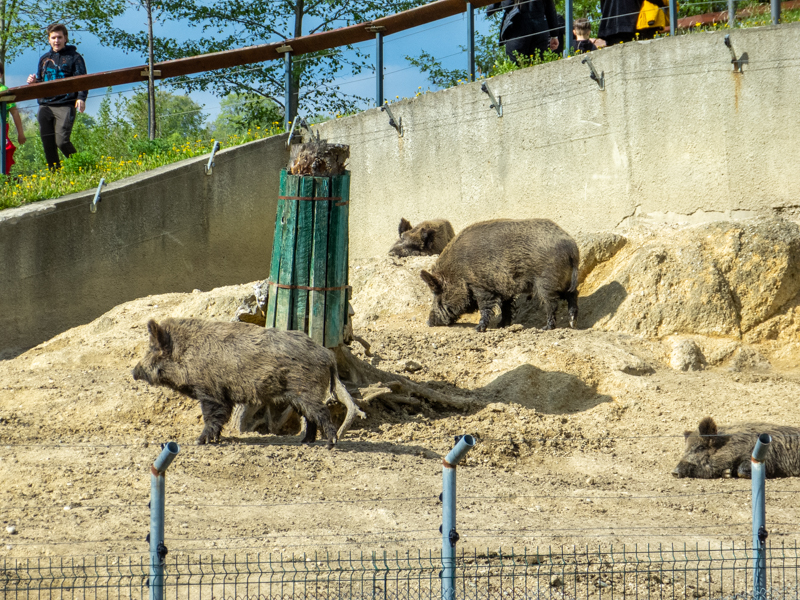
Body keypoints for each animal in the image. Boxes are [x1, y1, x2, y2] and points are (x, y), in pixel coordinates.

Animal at [132, 318, 344, 448]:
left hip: (306, 390)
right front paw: (215, 440)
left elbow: (212, 417)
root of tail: (328, 355)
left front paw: (199, 442)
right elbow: (220, 418)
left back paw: (330, 444)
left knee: (322, 411)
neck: (187, 354)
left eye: (153, 349)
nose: (134, 371)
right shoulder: (224, 396)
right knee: (310, 417)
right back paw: (305, 442)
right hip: (298, 396)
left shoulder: (211, 392)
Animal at [420, 218, 579, 332]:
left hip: (546, 281)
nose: (429, 322)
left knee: (551, 302)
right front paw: (501, 325)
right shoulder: (504, 288)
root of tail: (572, 248)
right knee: (572, 294)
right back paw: (572, 323)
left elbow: (485, 306)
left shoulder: (481, 286)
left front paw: (478, 329)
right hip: (563, 281)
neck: (458, 272)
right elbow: (505, 306)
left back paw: (546, 328)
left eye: (437, 293)